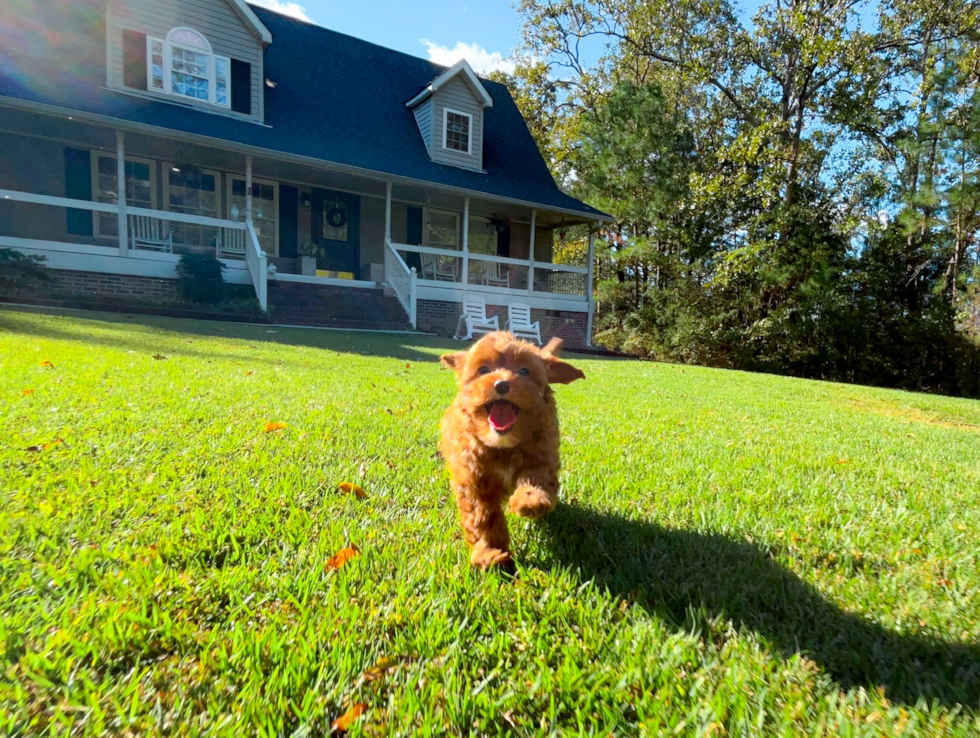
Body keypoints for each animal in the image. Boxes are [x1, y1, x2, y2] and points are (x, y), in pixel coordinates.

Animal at [440, 330, 584, 568]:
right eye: (483, 370)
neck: (502, 444)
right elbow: (482, 519)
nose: (502, 385)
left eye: (524, 371)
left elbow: (536, 478)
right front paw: (490, 553)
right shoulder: (473, 480)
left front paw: (530, 501)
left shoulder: (541, 455)